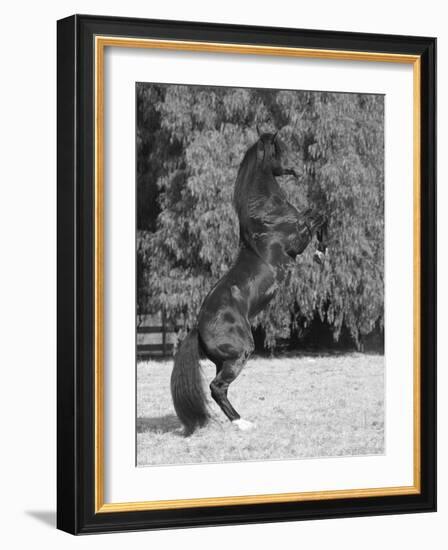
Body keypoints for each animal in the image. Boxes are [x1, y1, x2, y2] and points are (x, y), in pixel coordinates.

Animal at [170, 133, 328, 436]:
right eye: (282, 149)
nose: (300, 169)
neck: (266, 214)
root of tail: (198, 328)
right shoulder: (296, 239)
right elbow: (319, 214)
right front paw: (322, 251)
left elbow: (318, 213)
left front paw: (323, 251)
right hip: (240, 353)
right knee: (217, 387)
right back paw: (243, 423)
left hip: (225, 360)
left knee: (219, 389)